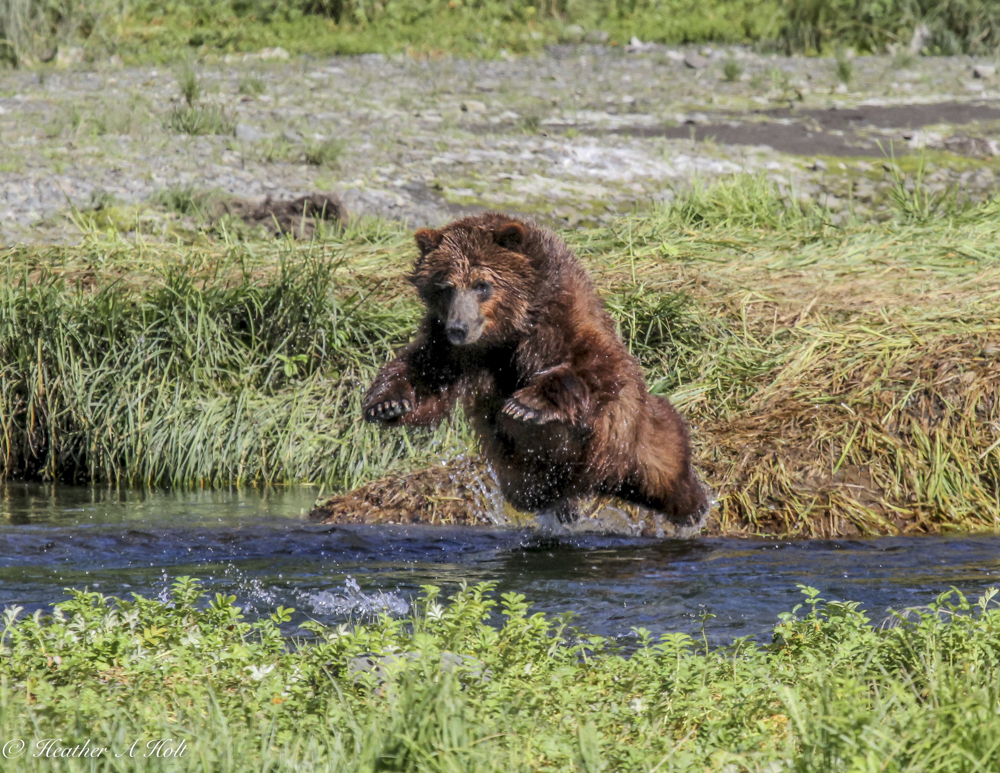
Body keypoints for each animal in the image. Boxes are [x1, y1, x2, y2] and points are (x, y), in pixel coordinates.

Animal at [362, 212, 709, 529]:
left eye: (482, 285)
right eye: (446, 287)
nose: (458, 328)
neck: (507, 332)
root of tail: (598, 480)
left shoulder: (561, 318)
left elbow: (598, 363)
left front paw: (526, 404)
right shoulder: (456, 350)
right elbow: (427, 372)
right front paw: (387, 402)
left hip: (633, 438)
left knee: (664, 466)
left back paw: (695, 507)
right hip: (519, 467)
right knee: (531, 491)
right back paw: (563, 507)